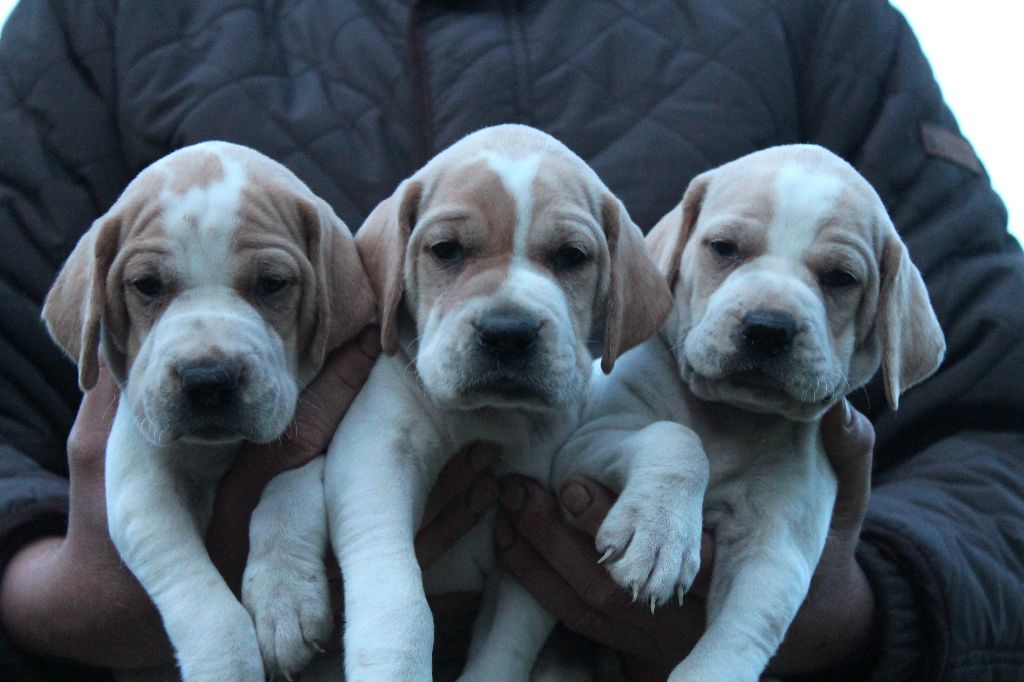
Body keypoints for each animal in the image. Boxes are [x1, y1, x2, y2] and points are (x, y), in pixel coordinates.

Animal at [41, 140, 376, 675]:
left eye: (273, 284)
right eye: (146, 285)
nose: (208, 381)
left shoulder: (322, 422)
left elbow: (290, 486)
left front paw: (284, 596)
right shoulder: (140, 478)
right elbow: (193, 586)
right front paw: (227, 662)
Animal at [243, 123, 675, 679]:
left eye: (571, 257)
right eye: (446, 250)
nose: (508, 333)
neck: (491, 418)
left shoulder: (534, 535)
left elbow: (506, 645)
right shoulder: (376, 458)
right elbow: (397, 595)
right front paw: (395, 664)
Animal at [557, 144, 946, 679]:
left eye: (841, 279)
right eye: (724, 248)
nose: (769, 327)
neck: (731, 419)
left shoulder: (776, 547)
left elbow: (740, 636)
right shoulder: (585, 444)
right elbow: (676, 439)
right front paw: (659, 536)